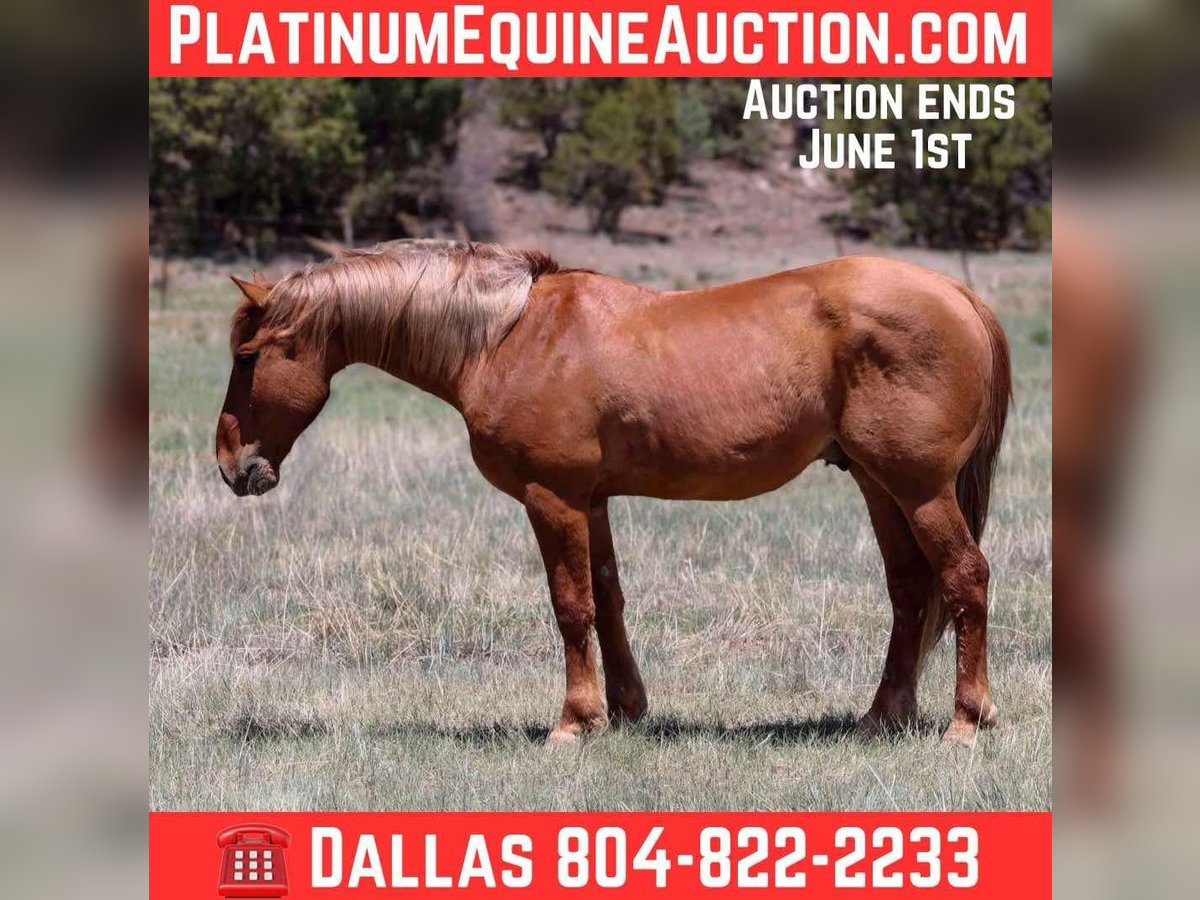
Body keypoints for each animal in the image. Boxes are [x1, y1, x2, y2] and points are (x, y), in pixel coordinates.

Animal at [216, 239, 1011, 747]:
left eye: (248, 356)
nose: (233, 465)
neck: (507, 337)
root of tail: (957, 292)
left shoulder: (553, 498)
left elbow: (571, 607)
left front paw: (574, 722)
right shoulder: (590, 501)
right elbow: (607, 598)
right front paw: (625, 709)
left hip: (919, 488)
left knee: (965, 578)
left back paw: (966, 721)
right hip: (881, 486)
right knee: (911, 590)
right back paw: (882, 717)